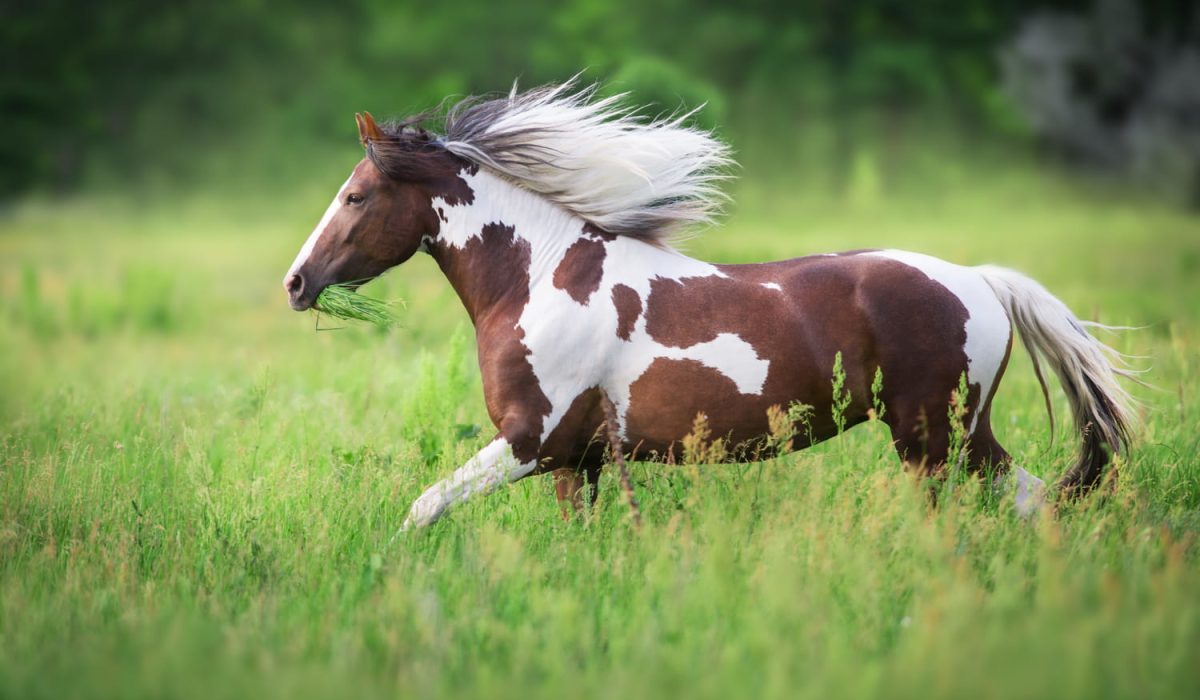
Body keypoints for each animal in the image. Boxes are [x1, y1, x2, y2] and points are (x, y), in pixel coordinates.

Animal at [283, 81, 1137, 530]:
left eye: (355, 196)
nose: (295, 283)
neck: (540, 279)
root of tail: (983, 282)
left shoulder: (530, 442)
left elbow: (422, 508)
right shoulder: (577, 461)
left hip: (935, 437)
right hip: (958, 436)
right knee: (1038, 503)